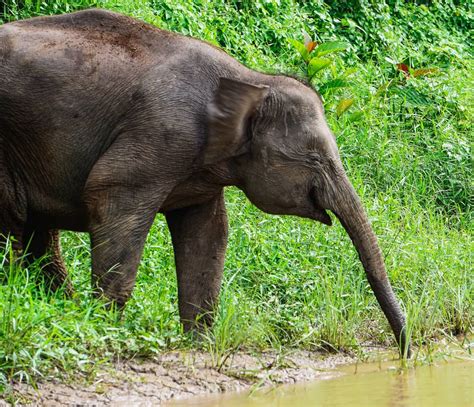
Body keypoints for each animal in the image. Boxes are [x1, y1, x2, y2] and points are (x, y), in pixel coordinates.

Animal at [0, 9, 410, 356]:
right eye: (315, 158)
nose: (406, 357)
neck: (250, 78)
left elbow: (208, 233)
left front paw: (198, 342)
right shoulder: (161, 134)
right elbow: (111, 196)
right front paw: (106, 327)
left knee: (38, 232)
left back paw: (61, 306)